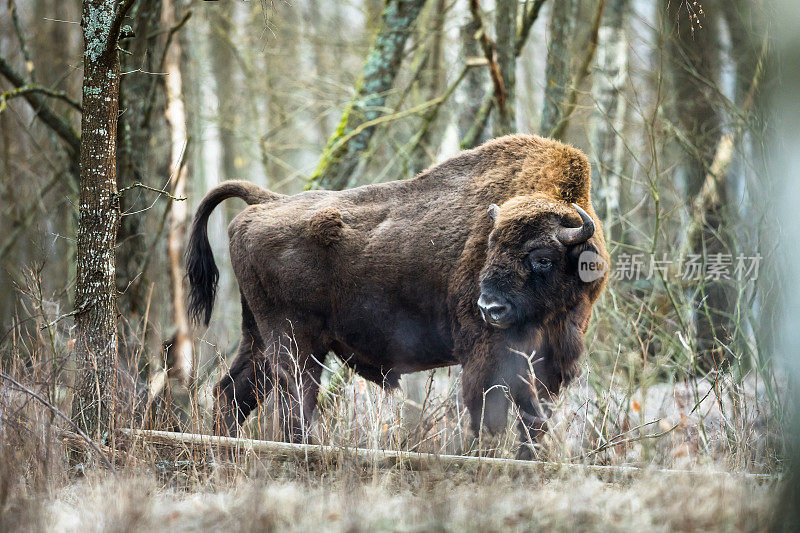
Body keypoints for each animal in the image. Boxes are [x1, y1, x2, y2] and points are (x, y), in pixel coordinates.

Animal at [188, 133, 608, 454]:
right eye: (489, 247)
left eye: (541, 257)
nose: (490, 307)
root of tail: (265, 202)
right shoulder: (487, 355)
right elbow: (492, 413)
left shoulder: (551, 363)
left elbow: (533, 420)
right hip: (294, 342)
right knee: (294, 399)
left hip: (258, 336)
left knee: (231, 392)